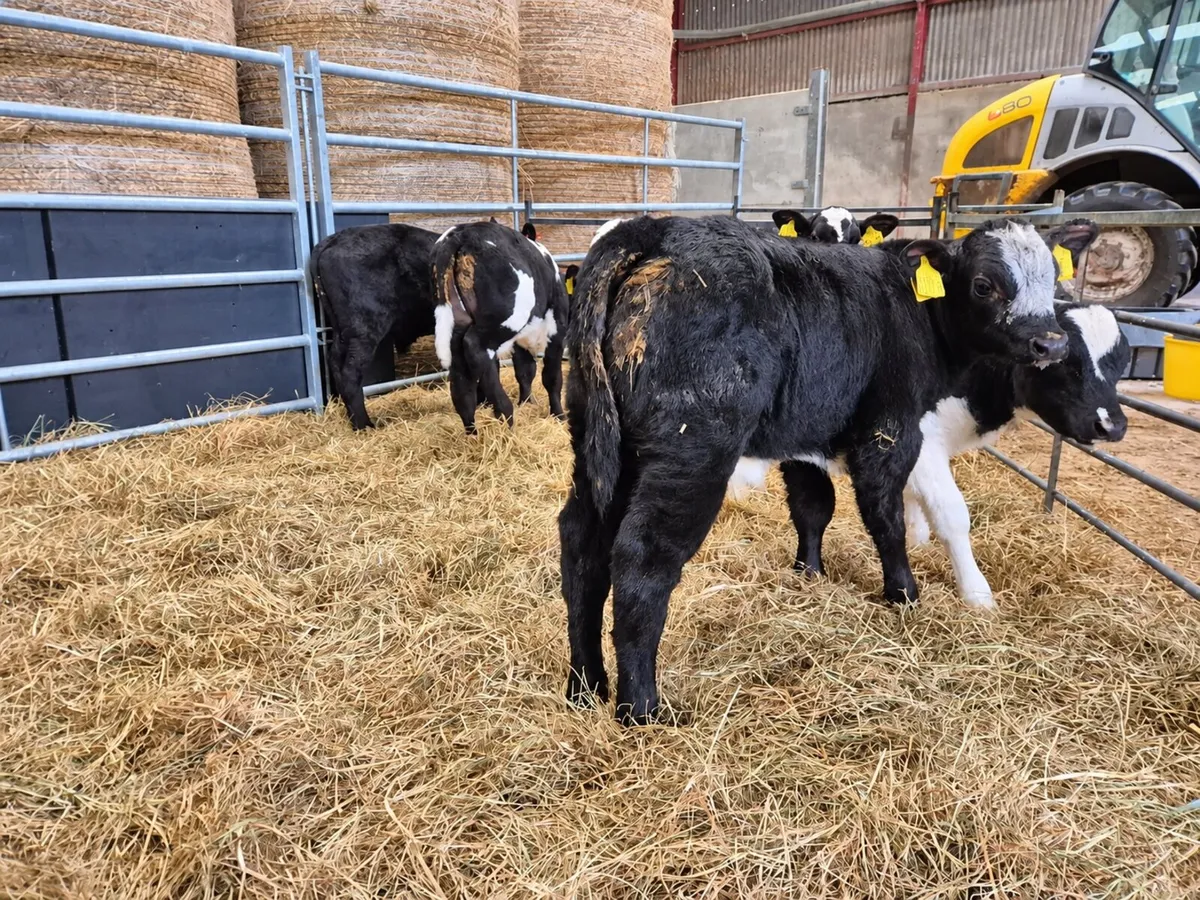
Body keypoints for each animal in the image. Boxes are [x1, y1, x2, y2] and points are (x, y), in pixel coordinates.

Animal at [310, 223, 439, 430]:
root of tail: (334, 239)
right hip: (364, 331)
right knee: (351, 372)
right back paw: (365, 425)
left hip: (343, 332)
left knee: (335, 362)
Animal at [432, 221, 568, 434]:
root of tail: (463, 233)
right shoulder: (557, 330)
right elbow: (552, 377)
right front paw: (559, 416)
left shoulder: (521, 340)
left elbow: (525, 371)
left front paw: (527, 402)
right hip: (501, 322)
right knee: (475, 348)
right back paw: (505, 415)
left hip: (457, 322)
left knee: (461, 380)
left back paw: (472, 433)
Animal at [734, 299, 1130, 611]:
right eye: (1065, 362)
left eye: (1118, 364)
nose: (1113, 425)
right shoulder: (909, 444)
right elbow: (949, 516)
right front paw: (976, 593)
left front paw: (918, 543)